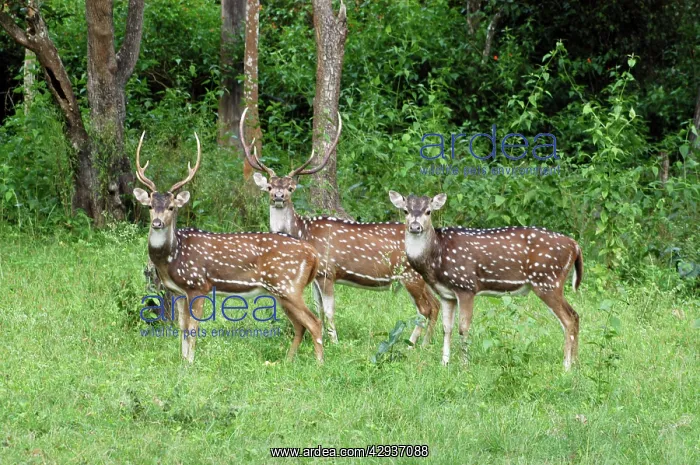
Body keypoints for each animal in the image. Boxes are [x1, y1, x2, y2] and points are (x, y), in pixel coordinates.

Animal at [132, 132, 324, 363]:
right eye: (150, 206)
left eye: (171, 207)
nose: (157, 223)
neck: (172, 257)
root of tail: (313, 254)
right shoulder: (177, 291)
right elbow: (182, 328)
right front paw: (182, 362)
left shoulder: (198, 285)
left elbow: (193, 328)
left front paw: (190, 364)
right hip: (282, 291)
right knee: (300, 325)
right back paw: (287, 362)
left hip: (288, 286)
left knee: (314, 322)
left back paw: (320, 364)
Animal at [240, 108, 440, 346]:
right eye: (270, 187)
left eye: (290, 188)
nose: (278, 196)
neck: (303, 232)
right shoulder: (315, 276)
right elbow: (318, 308)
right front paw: (323, 338)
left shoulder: (328, 271)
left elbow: (329, 310)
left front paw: (334, 342)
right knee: (435, 306)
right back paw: (425, 344)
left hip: (410, 275)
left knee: (426, 308)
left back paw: (413, 344)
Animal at [389, 191, 584, 370]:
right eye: (405, 210)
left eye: (428, 211)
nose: (415, 227)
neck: (436, 258)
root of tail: (575, 246)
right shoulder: (446, 294)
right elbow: (446, 328)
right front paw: (444, 363)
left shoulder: (466, 286)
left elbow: (463, 327)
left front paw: (464, 364)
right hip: (551, 283)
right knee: (575, 315)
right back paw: (575, 363)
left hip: (547, 281)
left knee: (568, 319)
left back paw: (566, 366)